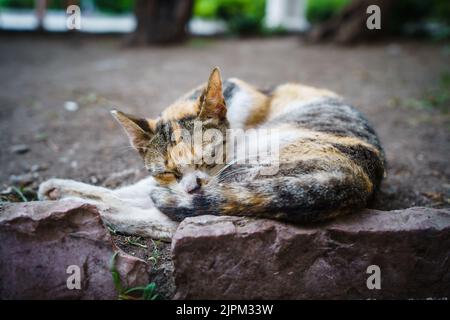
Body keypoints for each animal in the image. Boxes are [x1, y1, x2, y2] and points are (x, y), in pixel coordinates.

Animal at [38, 68, 384, 240]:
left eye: (209, 155)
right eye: (168, 171)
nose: (192, 186)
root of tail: (360, 179)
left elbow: (147, 196)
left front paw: (74, 198)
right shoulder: (168, 184)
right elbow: (135, 188)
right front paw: (59, 190)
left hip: (251, 164)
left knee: (187, 219)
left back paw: (100, 214)